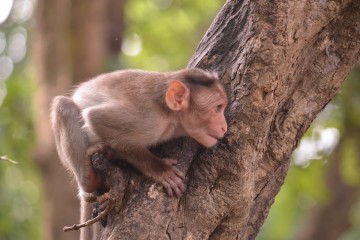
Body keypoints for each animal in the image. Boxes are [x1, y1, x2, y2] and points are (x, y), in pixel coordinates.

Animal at [51, 68, 228, 233]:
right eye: (217, 108)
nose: (224, 127)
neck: (172, 116)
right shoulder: (149, 119)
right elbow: (97, 118)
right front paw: (162, 170)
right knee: (63, 105)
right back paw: (88, 179)